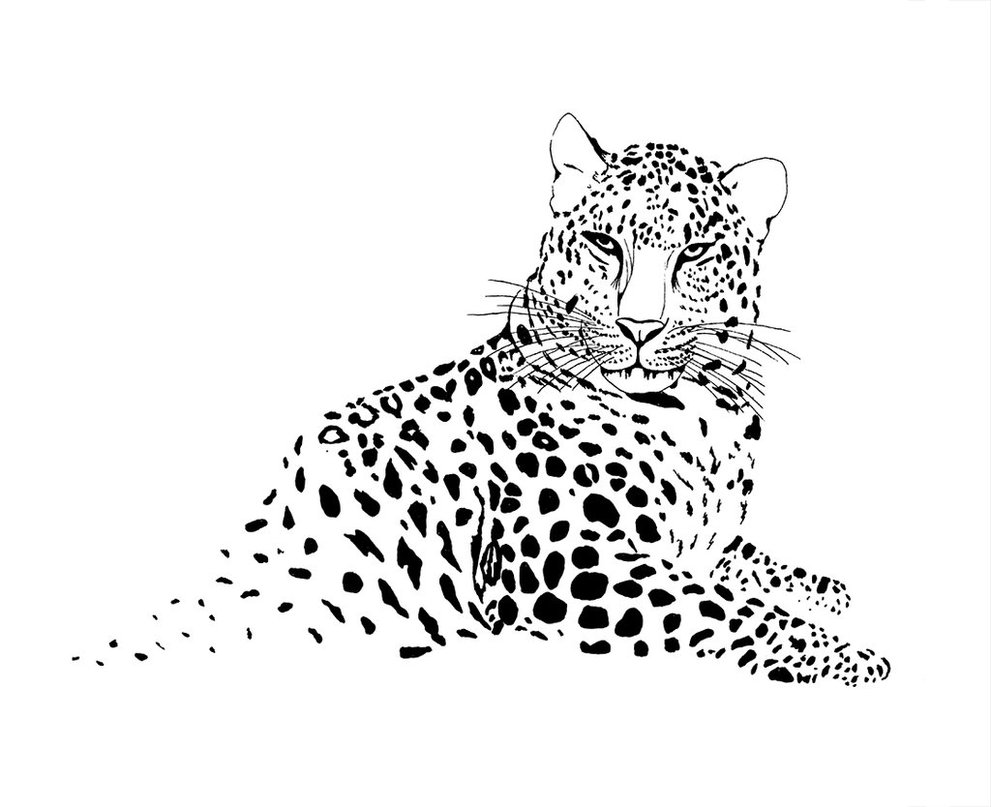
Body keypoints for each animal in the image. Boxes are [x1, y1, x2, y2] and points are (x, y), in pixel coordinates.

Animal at [74, 113, 890, 686]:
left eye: (694, 253)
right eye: (604, 245)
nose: (639, 326)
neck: (700, 419)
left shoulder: (697, 541)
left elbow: (745, 564)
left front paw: (826, 588)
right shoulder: (573, 563)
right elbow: (733, 611)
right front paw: (849, 657)